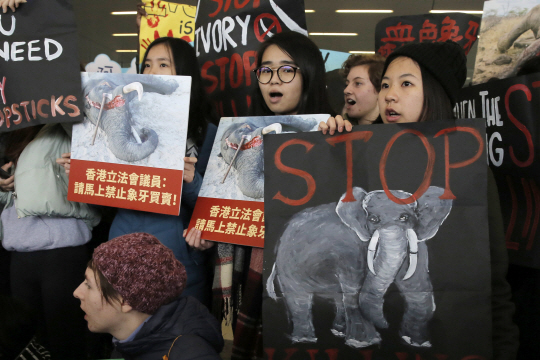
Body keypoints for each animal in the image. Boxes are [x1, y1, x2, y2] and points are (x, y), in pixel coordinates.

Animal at [266, 184, 452, 348]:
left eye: (404, 217)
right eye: (373, 219)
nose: (386, 324)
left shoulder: (417, 243)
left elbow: (417, 288)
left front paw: (417, 342)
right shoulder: (349, 250)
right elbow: (354, 290)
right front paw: (364, 343)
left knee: (337, 298)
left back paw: (339, 332)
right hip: (287, 265)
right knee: (299, 298)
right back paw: (305, 340)